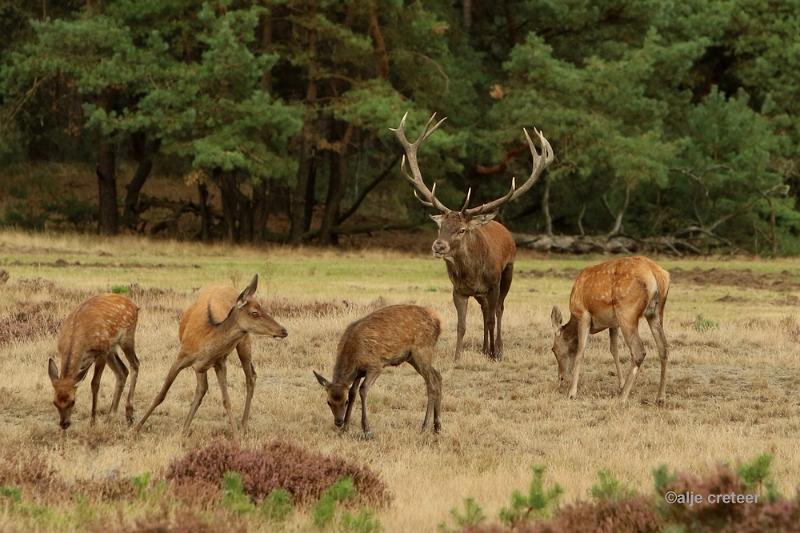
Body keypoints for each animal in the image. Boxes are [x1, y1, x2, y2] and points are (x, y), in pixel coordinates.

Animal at [47, 294, 141, 430]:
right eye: (54, 402)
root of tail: (135, 306)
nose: (64, 424)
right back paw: (110, 416)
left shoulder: (101, 353)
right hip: (111, 348)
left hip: (126, 337)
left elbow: (95, 384)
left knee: (135, 364)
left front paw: (93, 421)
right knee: (122, 371)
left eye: (73, 401)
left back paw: (129, 414)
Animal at [134, 274, 288, 436]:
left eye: (262, 307)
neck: (205, 342)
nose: (284, 330)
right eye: (255, 313)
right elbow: (161, 394)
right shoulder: (181, 357)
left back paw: (243, 426)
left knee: (250, 376)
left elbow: (226, 400)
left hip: (244, 341)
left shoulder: (220, 362)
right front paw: (136, 428)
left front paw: (236, 436)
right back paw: (185, 428)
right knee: (203, 388)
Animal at [314, 304, 444, 436]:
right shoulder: (358, 373)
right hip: (412, 357)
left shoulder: (376, 366)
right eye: (328, 402)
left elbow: (363, 389)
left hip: (422, 351)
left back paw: (424, 426)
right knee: (438, 375)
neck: (354, 355)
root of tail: (438, 321)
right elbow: (352, 393)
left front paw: (366, 429)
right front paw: (346, 427)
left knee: (431, 383)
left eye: (345, 402)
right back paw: (437, 426)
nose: (338, 422)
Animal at [390, 112, 552, 362]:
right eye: (440, 227)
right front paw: (457, 357)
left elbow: (493, 318)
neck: (472, 273)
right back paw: (485, 348)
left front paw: (495, 354)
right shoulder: (458, 290)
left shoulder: (493, 283)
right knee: (485, 310)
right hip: (480, 293)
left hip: (509, 271)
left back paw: (497, 349)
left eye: (462, 230)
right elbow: (461, 325)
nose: (438, 246)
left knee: (498, 310)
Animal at [552, 258, 668, 404]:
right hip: (655, 313)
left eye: (553, 349)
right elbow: (614, 350)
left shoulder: (584, 314)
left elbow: (580, 351)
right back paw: (660, 397)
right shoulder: (613, 323)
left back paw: (622, 398)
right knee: (664, 348)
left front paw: (572, 393)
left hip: (626, 311)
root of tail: (656, 274)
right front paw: (620, 384)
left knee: (638, 351)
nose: (561, 378)